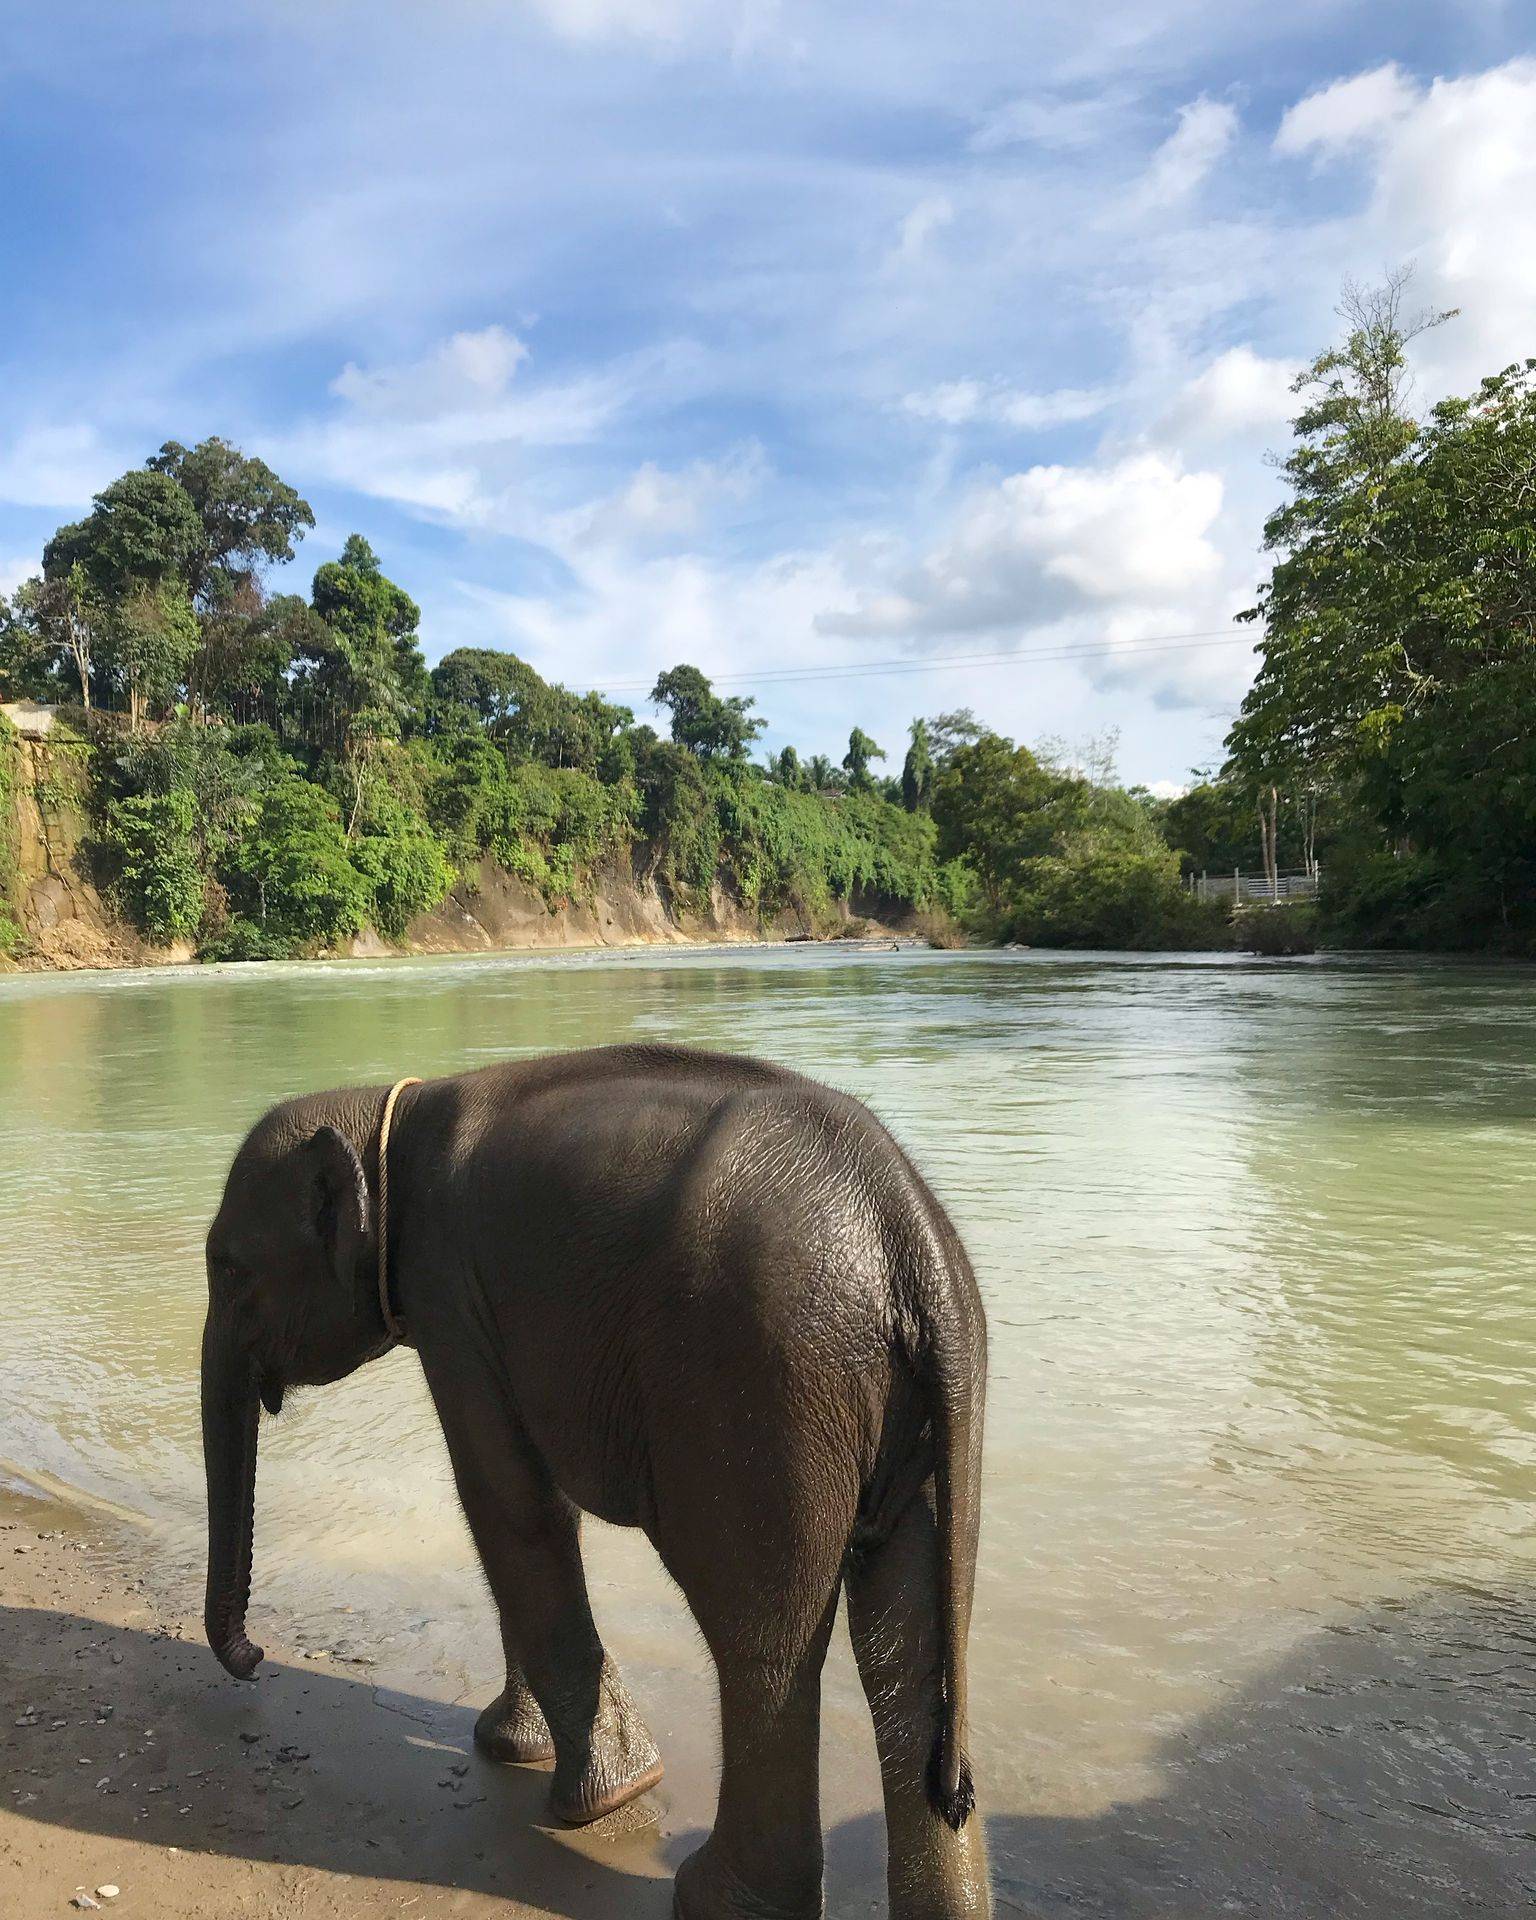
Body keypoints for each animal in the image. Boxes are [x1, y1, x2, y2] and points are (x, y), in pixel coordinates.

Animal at [200, 1043, 990, 1920]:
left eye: (226, 1270)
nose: (257, 1656)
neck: (380, 1109)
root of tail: (907, 1229)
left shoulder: (449, 1294)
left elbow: (505, 1498)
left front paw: (597, 1796)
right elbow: (522, 1507)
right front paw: (515, 1748)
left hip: (757, 1381)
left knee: (762, 1640)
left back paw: (710, 1896)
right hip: (911, 1415)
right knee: (908, 1644)